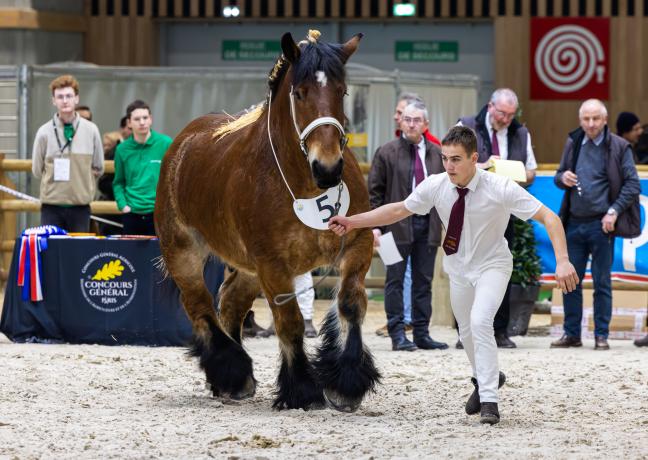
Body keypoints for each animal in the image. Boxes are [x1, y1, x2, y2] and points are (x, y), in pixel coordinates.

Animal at [156, 30, 380, 412]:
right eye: (300, 92)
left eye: (342, 91)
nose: (328, 168)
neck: (302, 184)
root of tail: (182, 144)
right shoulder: (273, 264)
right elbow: (290, 323)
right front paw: (303, 389)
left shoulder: (357, 245)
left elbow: (351, 303)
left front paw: (347, 383)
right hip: (183, 252)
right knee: (200, 305)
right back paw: (232, 374)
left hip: (248, 269)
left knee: (230, 302)